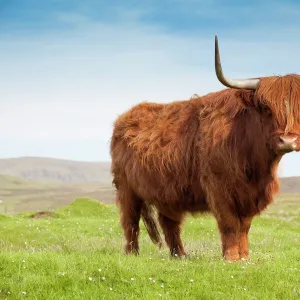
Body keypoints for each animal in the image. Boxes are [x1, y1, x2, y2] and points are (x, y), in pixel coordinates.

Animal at [109, 35, 300, 260]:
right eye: (265, 107)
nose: (287, 141)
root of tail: (126, 116)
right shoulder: (219, 188)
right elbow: (230, 224)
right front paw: (231, 258)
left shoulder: (250, 195)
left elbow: (244, 226)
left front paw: (245, 257)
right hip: (126, 188)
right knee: (130, 221)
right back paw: (132, 253)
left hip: (166, 190)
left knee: (169, 223)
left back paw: (180, 255)